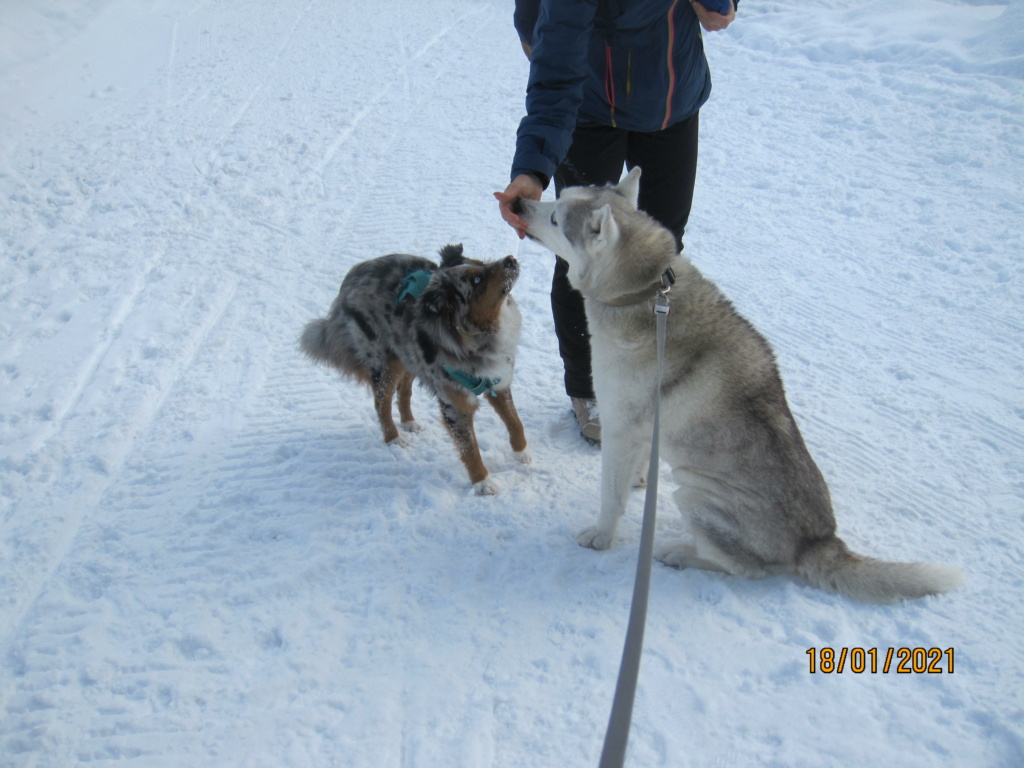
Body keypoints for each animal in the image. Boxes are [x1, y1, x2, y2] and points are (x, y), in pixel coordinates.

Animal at [299, 246, 532, 499]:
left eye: (481, 263)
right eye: (477, 280)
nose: (510, 259)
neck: (478, 336)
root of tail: (352, 276)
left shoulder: (497, 382)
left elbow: (514, 420)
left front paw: (521, 453)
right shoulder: (455, 405)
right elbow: (470, 448)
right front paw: (483, 483)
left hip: (409, 354)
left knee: (404, 390)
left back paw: (409, 422)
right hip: (385, 363)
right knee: (381, 403)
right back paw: (394, 438)